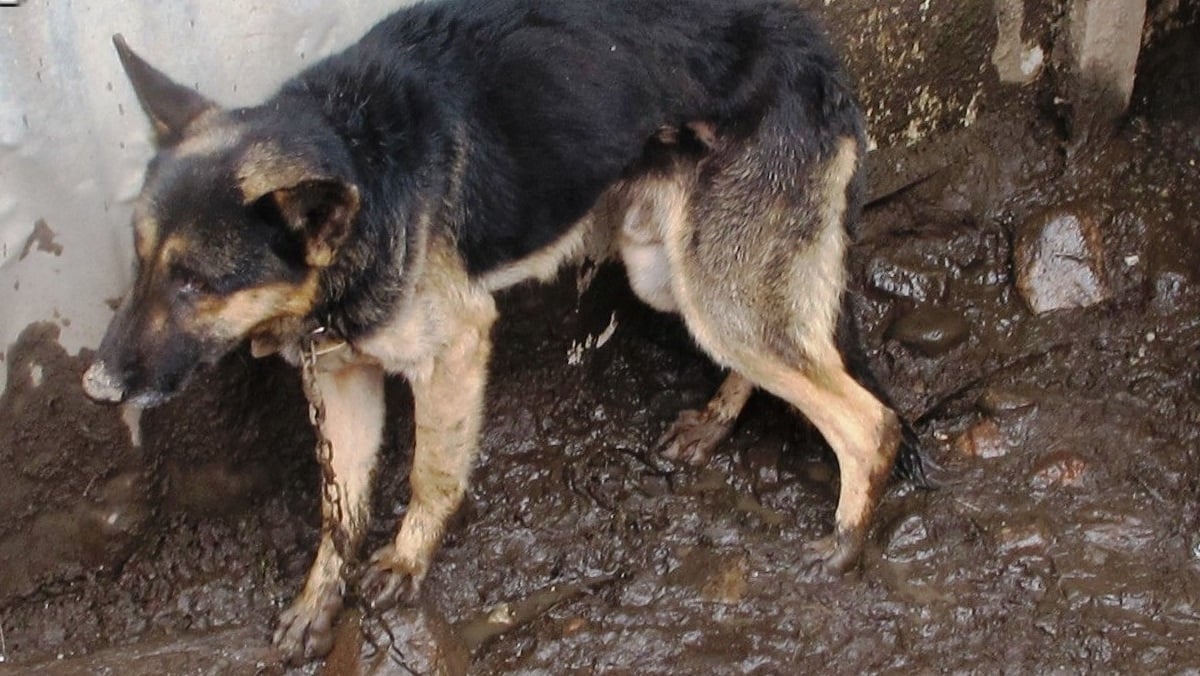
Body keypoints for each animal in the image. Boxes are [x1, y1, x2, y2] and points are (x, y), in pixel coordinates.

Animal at [82, 0, 907, 667]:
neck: (360, 158)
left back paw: (844, 544)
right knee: (779, 357)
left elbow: (430, 473)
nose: (96, 385)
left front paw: (406, 564)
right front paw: (319, 604)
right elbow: (338, 511)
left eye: (194, 283)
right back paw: (715, 422)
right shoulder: (340, 373)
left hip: (715, 287)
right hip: (672, 272)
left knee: (869, 420)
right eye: (142, 260)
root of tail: (814, 46)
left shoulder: (453, 349)